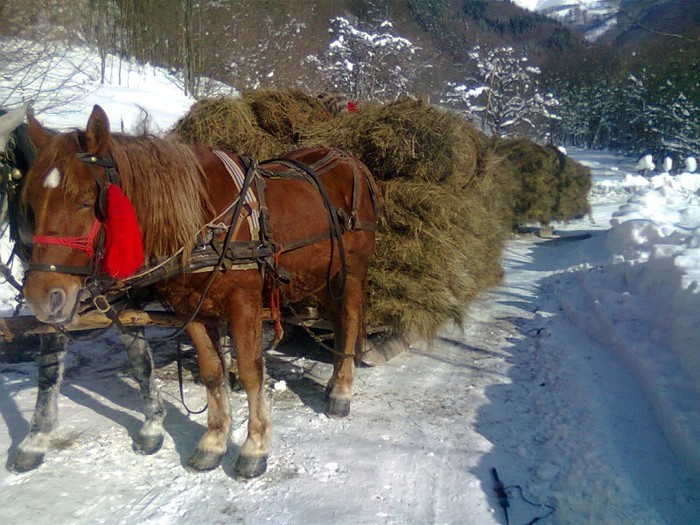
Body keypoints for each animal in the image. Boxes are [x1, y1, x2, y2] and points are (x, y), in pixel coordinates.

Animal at [23, 104, 378, 476]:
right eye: (30, 202)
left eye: (85, 200)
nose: (40, 296)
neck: (203, 222)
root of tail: (348, 158)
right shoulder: (190, 307)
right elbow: (211, 372)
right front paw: (214, 441)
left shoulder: (244, 303)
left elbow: (251, 372)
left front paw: (255, 447)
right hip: (326, 274)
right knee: (338, 322)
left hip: (353, 272)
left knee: (350, 321)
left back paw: (341, 391)